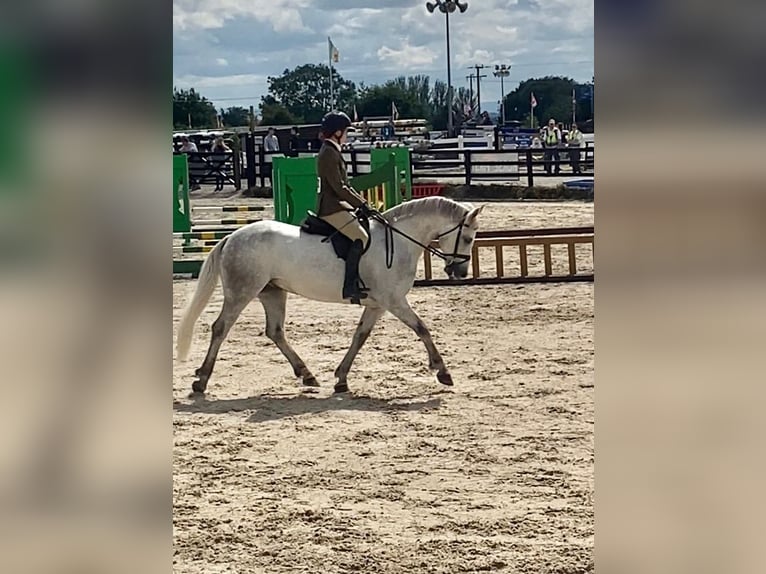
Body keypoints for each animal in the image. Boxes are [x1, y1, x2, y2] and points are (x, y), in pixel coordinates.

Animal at [177, 198, 484, 396]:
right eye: (468, 238)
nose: (459, 272)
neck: (398, 241)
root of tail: (232, 236)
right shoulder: (394, 301)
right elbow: (422, 328)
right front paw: (442, 372)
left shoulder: (378, 305)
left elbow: (360, 336)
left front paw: (341, 378)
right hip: (242, 291)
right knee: (221, 328)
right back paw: (201, 380)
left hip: (272, 292)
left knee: (275, 331)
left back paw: (307, 374)